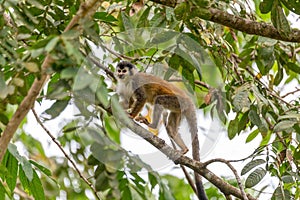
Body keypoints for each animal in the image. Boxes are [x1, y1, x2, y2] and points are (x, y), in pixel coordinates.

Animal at [116, 61, 207, 200]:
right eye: (119, 70)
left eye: (124, 71)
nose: (119, 74)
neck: (127, 80)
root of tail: (189, 101)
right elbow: (129, 101)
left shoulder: (136, 83)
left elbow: (142, 98)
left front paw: (131, 115)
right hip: (179, 108)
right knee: (171, 129)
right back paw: (184, 149)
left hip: (176, 101)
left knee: (158, 99)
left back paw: (153, 125)